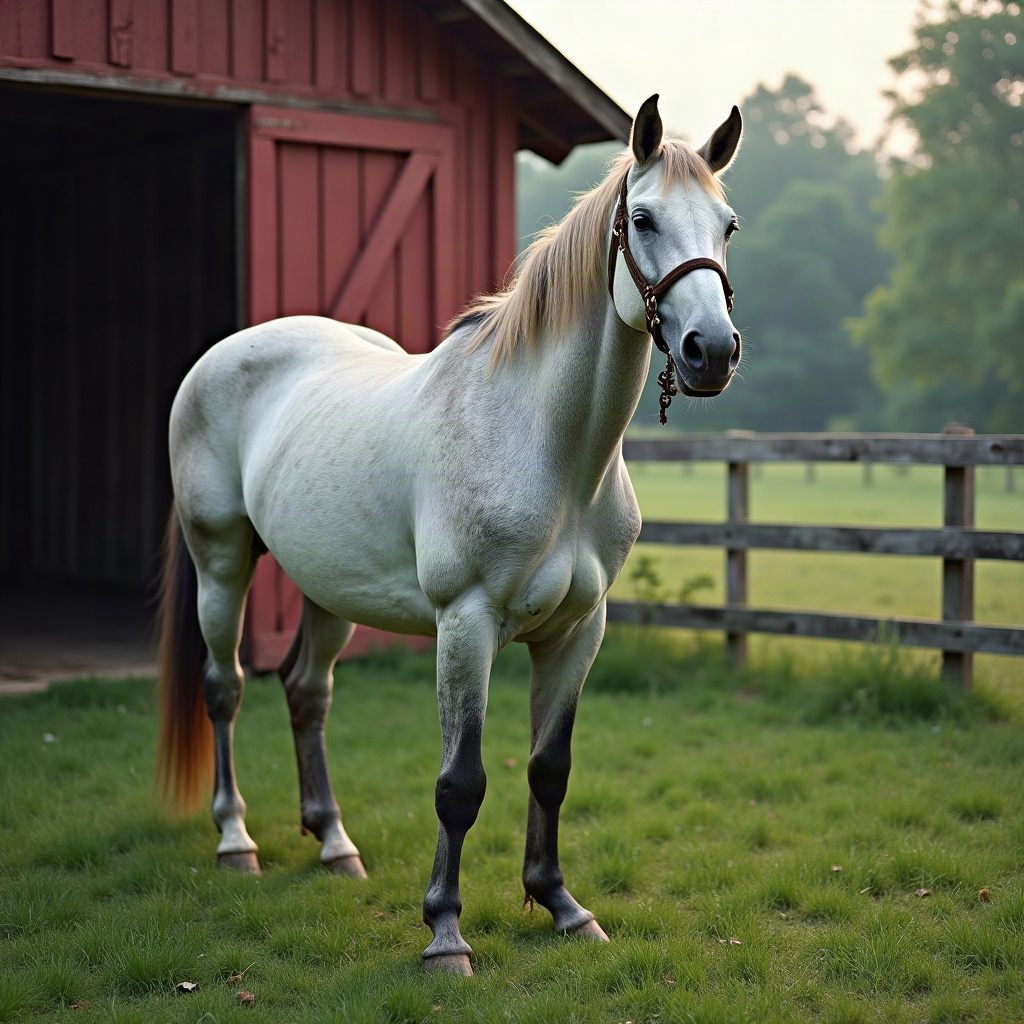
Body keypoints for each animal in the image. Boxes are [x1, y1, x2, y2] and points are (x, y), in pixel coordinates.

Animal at [157, 94, 744, 976]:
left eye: (728, 225)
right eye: (642, 218)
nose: (713, 350)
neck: (547, 445)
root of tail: (221, 357)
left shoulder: (579, 631)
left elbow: (548, 768)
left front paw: (561, 905)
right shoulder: (465, 624)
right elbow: (460, 782)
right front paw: (445, 933)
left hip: (330, 589)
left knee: (306, 691)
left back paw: (334, 843)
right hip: (221, 563)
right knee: (224, 689)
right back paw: (236, 841)